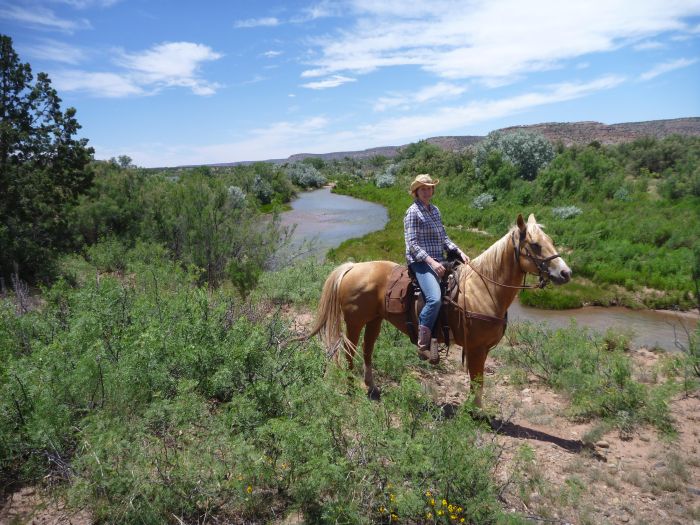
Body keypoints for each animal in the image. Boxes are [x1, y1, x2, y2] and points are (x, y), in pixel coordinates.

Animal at [308, 213, 572, 406]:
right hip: (354, 322)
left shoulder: (482, 348)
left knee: (367, 351)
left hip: (374, 320)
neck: (483, 288)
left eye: (551, 241)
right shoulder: (476, 347)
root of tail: (352, 268)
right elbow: (477, 380)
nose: (566, 273)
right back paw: (350, 388)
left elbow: (478, 381)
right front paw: (476, 413)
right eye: (535, 246)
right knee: (349, 352)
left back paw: (371, 387)